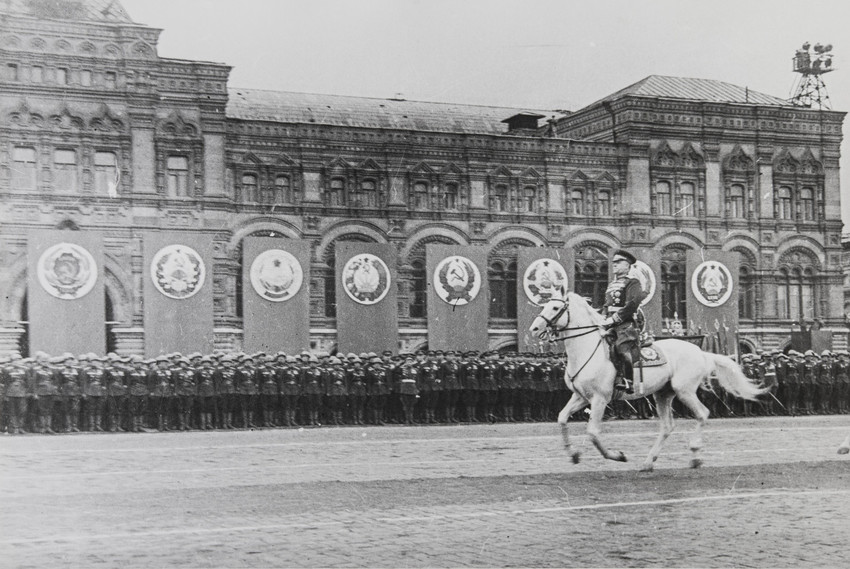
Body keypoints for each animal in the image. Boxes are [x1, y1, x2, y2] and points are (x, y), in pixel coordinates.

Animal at [528, 290, 764, 468]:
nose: (534, 329)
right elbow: (561, 418)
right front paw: (573, 453)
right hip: (663, 394)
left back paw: (695, 455)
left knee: (702, 414)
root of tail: (700, 351)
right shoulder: (581, 397)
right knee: (668, 426)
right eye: (546, 304)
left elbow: (593, 433)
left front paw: (617, 456)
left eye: (555, 308)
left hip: (684, 390)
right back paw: (649, 462)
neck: (587, 351)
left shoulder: (599, 399)